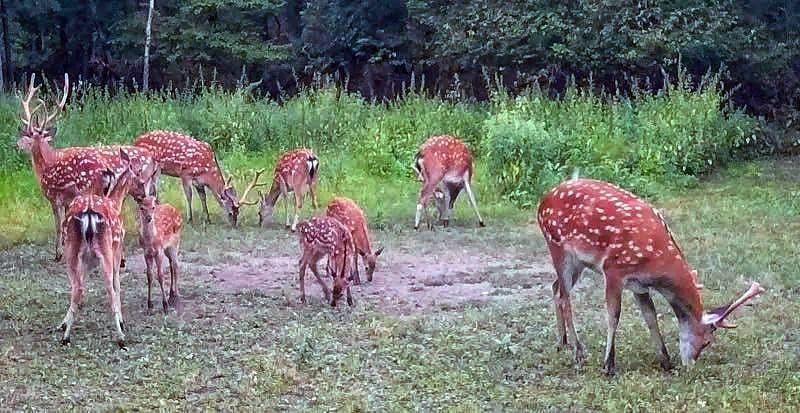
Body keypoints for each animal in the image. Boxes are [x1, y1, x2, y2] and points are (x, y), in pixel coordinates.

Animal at [58, 149, 135, 348]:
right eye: (138, 173)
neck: (115, 201)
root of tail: (89, 215)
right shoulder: (117, 250)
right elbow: (117, 284)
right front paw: (122, 321)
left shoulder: (87, 260)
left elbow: (81, 284)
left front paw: (63, 323)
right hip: (106, 251)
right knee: (109, 288)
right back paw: (121, 337)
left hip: (73, 250)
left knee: (77, 287)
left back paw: (65, 335)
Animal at [537, 177, 764, 375]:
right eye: (707, 341)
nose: (690, 364)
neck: (657, 261)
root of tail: (543, 200)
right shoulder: (613, 269)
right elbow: (613, 316)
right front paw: (608, 365)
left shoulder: (639, 284)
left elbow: (650, 317)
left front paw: (666, 361)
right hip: (556, 245)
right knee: (565, 297)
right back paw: (578, 351)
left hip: (579, 262)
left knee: (555, 287)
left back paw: (562, 342)